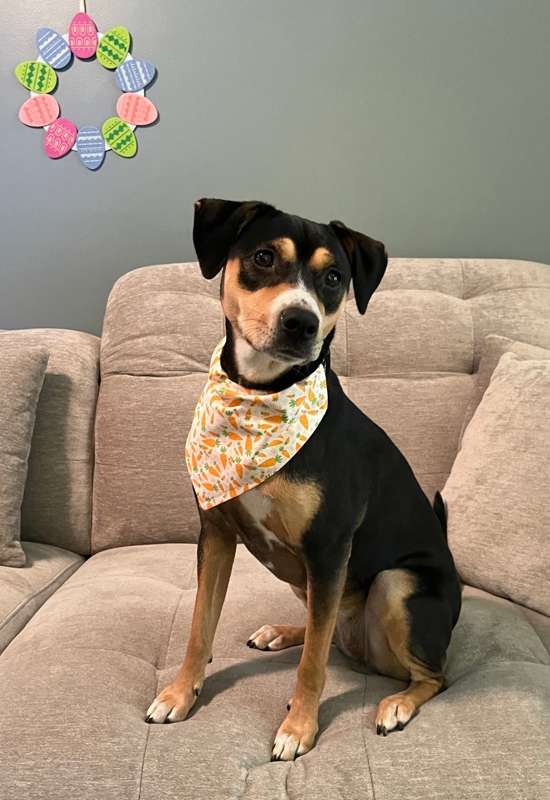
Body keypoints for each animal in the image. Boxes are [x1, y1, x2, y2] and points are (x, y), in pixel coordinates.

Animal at [144, 197, 464, 760]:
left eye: (334, 277)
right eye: (264, 257)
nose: (301, 322)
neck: (261, 395)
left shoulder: (329, 548)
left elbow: (312, 665)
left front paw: (299, 729)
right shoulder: (217, 533)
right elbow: (200, 628)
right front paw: (180, 694)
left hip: (397, 584)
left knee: (428, 674)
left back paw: (397, 704)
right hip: (308, 581)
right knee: (326, 626)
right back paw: (283, 632)